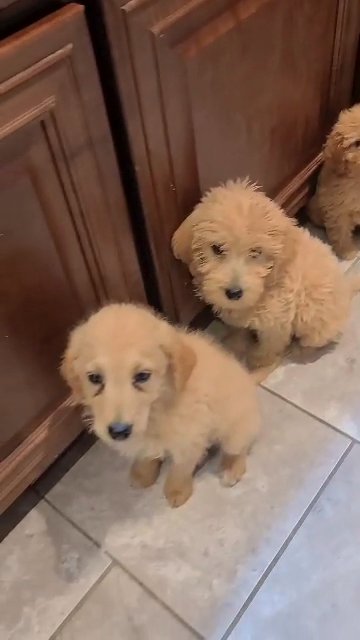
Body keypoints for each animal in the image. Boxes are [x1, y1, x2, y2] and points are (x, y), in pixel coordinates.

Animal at [60, 302, 260, 508]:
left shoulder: (189, 437)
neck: (157, 407)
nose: (119, 431)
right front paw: (143, 472)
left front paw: (177, 490)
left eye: (142, 376)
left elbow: (180, 468)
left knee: (239, 448)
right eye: (94, 378)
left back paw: (231, 468)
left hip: (236, 429)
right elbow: (147, 454)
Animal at [172, 179, 360, 370]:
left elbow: (271, 344)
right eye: (217, 249)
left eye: (256, 252)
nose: (234, 293)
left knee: (314, 340)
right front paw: (234, 342)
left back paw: (299, 350)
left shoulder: (278, 321)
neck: (265, 285)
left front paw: (260, 360)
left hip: (316, 325)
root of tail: (346, 288)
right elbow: (238, 330)